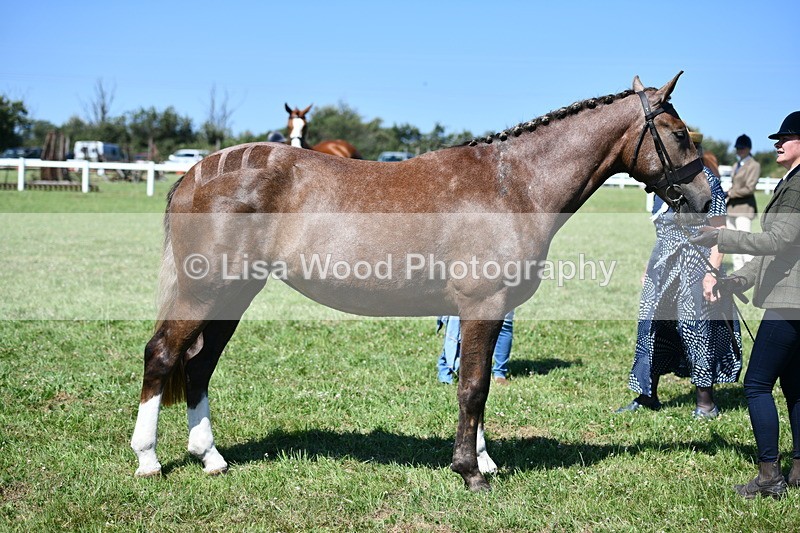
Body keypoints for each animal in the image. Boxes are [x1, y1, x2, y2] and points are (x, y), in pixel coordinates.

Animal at [131, 73, 711, 492]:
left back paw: (210, 457)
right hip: (205, 291)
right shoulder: (483, 305)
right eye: (680, 135)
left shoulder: (480, 311)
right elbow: (474, 387)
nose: (707, 199)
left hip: (233, 295)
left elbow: (476, 386)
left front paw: (484, 459)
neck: (513, 184)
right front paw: (471, 473)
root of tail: (196, 172)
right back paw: (148, 460)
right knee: (162, 354)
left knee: (199, 366)